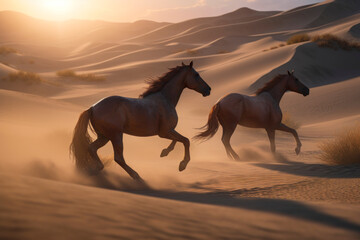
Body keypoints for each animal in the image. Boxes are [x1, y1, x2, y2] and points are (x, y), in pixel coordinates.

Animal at [70, 61, 211, 181]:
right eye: (196, 75)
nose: (208, 90)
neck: (166, 99)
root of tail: (93, 107)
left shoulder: (169, 131)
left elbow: (177, 140)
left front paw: (164, 152)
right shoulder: (164, 132)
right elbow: (185, 140)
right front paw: (182, 165)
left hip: (104, 136)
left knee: (92, 148)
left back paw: (96, 170)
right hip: (116, 136)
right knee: (118, 158)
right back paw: (137, 176)